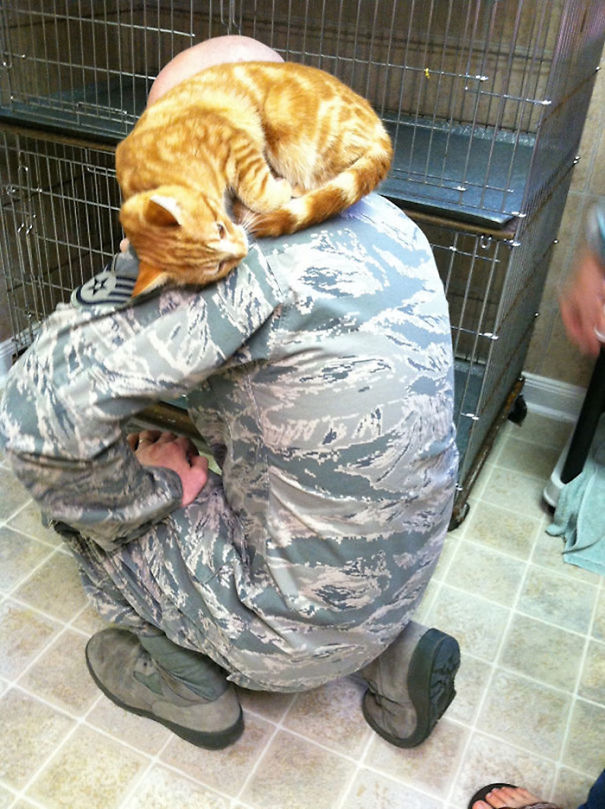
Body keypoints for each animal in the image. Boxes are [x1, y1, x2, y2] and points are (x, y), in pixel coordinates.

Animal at [115, 60, 394, 294]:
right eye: (217, 267)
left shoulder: (233, 141)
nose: (243, 248)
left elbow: (258, 191)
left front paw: (278, 189)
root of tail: (379, 126)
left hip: (283, 122)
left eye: (220, 229)